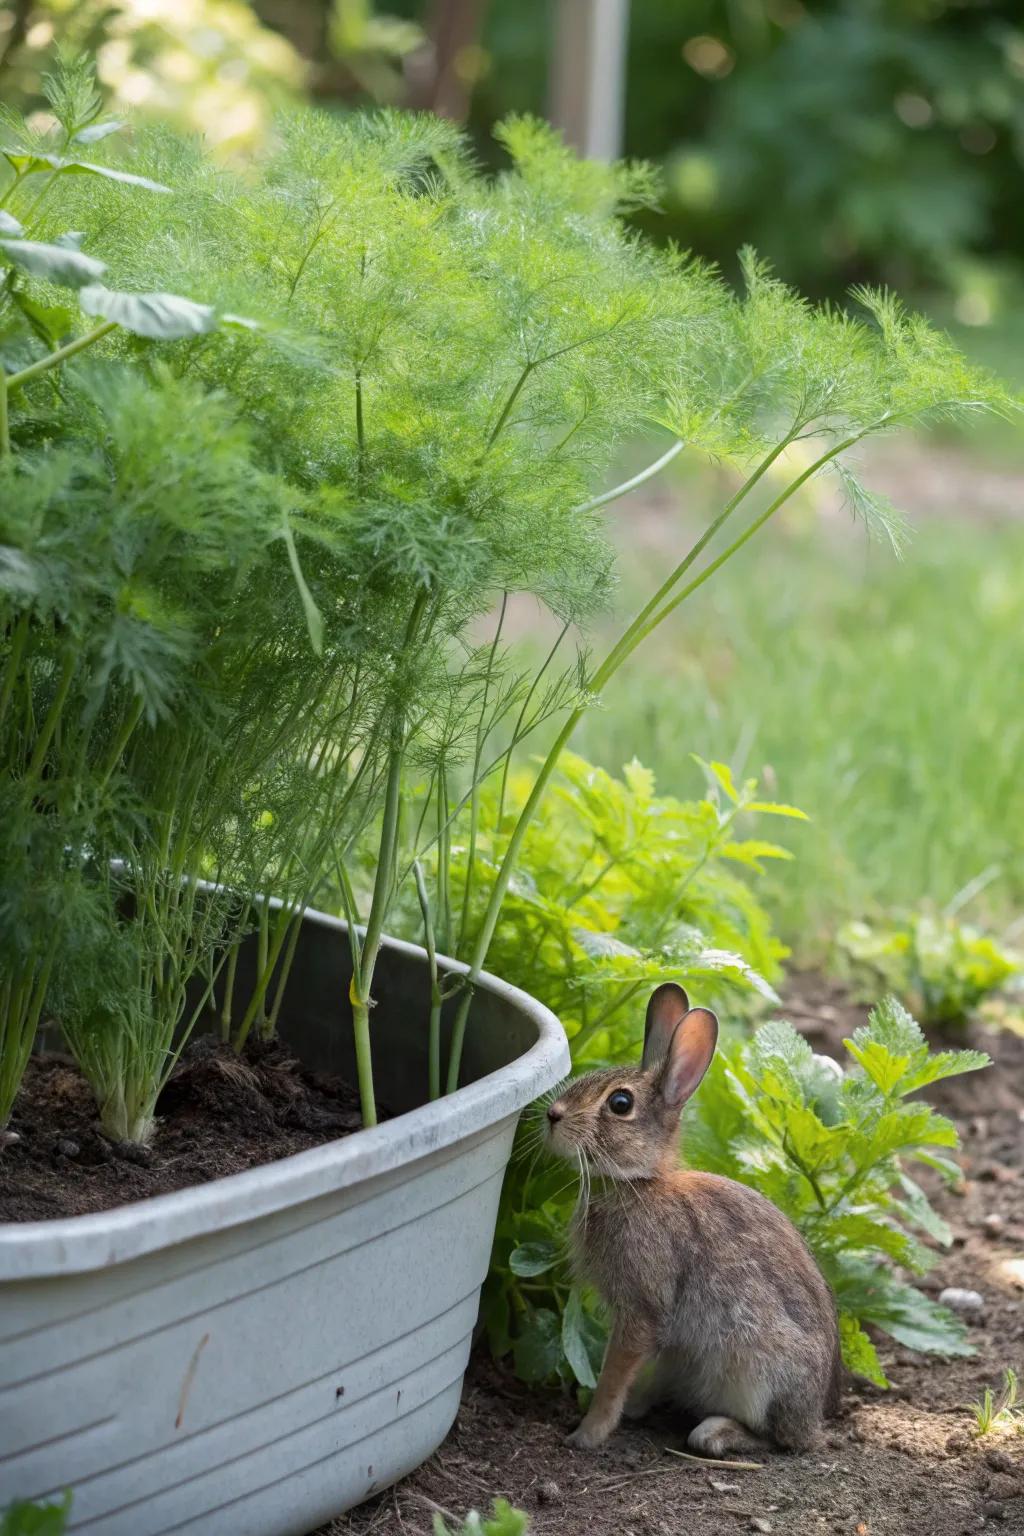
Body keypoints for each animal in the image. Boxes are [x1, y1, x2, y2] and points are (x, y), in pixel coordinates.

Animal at [545, 982, 842, 1458]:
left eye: (620, 1103)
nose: (552, 1115)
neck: (640, 1183)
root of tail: (813, 1422)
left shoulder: (642, 1307)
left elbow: (614, 1373)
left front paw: (587, 1433)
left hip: (754, 1371)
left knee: (774, 1438)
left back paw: (715, 1433)